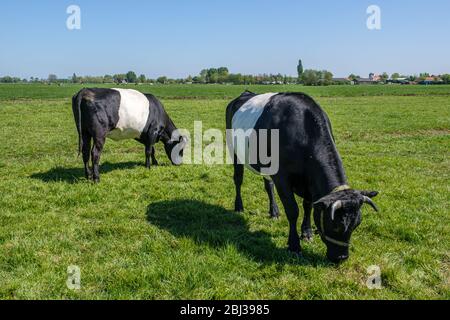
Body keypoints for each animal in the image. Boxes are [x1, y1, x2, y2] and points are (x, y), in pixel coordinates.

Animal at [227, 90, 378, 262]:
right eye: (336, 225)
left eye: (357, 224)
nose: (341, 257)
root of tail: (245, 93)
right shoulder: (282, 178)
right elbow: (293, 210)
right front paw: (294, 245)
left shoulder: (309, 183)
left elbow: (308, 206)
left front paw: (307, 233)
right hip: (234, 151)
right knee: (238, 179)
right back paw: (239, 206)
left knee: (268, 185)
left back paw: (274, 212)